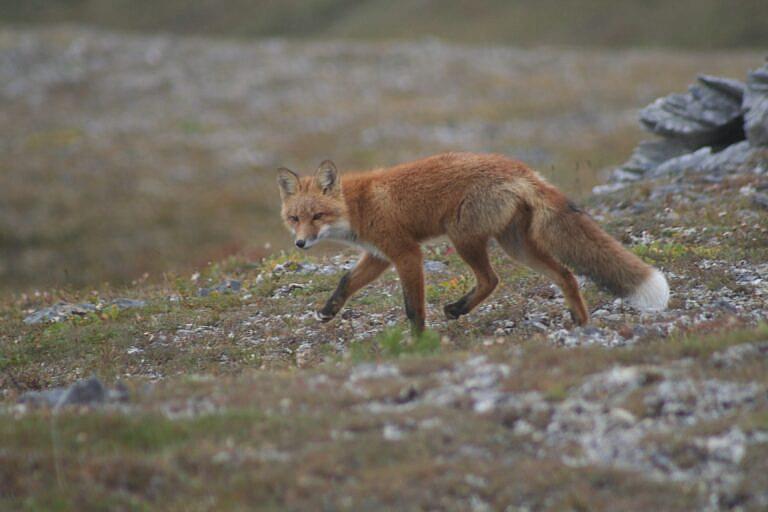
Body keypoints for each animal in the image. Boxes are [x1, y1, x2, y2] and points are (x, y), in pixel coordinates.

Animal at [277, 152, 669, 333]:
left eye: (317, 216)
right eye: (294, 218)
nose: (300, 244)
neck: (358, 205)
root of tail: (520, 169)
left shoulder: (406, 252)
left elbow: (413, 307)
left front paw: (418, 341)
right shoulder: (379, 256)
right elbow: (346, 281)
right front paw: (328, 311)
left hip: (463, 237)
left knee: (491, 279)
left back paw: (458, 309)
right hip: (516, 246)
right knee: (566, 274)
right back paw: (580, 322)